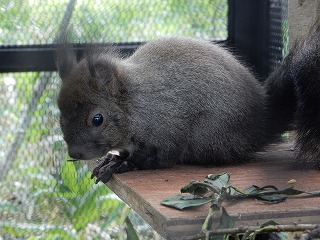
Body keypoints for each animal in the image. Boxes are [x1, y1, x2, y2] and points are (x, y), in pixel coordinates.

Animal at [56, 19, 318, 184]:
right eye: (59, 114)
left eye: (97, 119)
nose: (75, 153)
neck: (135, 104)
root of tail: (262, 123)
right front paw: (111, 158)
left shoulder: (167, 130)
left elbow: (157, 157)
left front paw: (122, 164)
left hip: (207, 135)